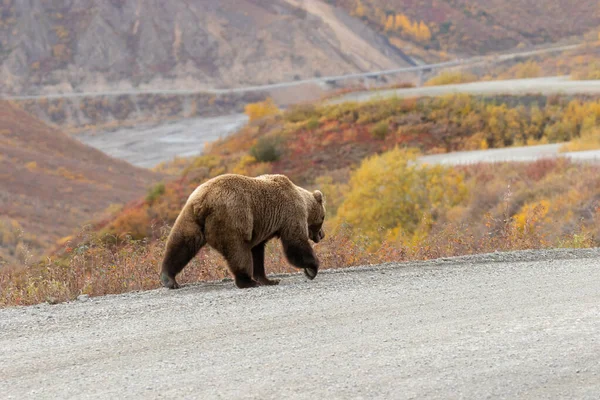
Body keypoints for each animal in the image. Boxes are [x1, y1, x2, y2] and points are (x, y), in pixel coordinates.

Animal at [159, 173, 326, 290]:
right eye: (323, 217)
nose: (322, 235)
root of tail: (204, 201)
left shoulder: (261, 226)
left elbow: (258, 251)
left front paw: (269, 279)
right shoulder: (290, 213)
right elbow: (295, 242)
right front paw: (312, 268)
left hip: (190, 217)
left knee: (181, 244)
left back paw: (169, 279)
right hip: (232, 218)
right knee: (238, 251)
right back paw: (247, 281)